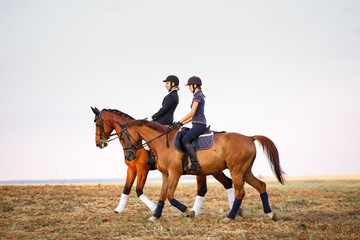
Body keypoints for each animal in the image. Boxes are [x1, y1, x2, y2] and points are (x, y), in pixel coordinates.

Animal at [92, 107, 239, 216]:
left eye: (97, 123)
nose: (99, 143)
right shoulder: (131, 169)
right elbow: (126, 189)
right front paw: (119, 209)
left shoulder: (142, 169)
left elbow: (138, 190)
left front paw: (153, 208)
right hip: (213, 168)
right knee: (227, 182)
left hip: (206, 169)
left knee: (204, 189)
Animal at [115, 119, 284, 222]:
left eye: (122, 137)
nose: (129, 156)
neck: (162, 142)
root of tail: (249, 137)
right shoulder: (165, 175)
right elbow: (162, 196)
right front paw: (155, 216)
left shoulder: (174, 173)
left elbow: (170, 196)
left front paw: (190, 212)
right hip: (245, 171)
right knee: (261, 185)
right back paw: (270, 214)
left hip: (236, 171)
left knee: (239, 192)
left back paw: (229, 217)